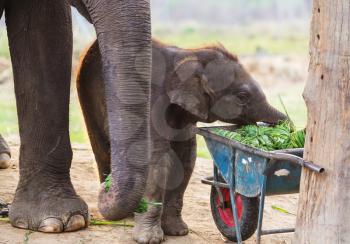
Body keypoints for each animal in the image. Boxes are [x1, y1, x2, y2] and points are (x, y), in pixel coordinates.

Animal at [76, 39, 288, 243]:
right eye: (242, 96)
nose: (285, 130)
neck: (190, 55)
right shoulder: (153, 102)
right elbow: (158, 160)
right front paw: (150, 239)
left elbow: (186, 157)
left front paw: (178, 232)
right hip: (87, 95)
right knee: (103, 149)